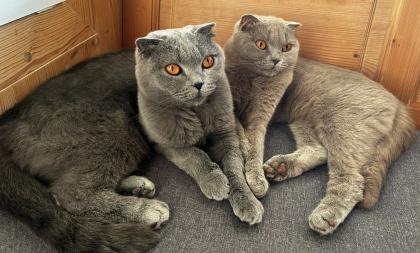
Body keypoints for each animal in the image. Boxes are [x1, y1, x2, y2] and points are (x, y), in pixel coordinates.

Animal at [135, 23, 264, 224]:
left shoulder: (225, 135)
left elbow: (234, 166)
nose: (199, 84)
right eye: (172, 69)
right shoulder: (167, 143)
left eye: (208, 61)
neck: (196, 112)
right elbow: (196, 156)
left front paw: (247, 202)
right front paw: (216, 182)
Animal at [225, 14, 416, 234]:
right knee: (319, 150)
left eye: (286, 47)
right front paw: (244, 148)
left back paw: (325, 216)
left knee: (351, 178)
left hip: (340, 124)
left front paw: (255, 176)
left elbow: (256, 143)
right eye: (261, 44)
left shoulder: (263, 112)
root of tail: (399, 104)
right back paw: (280, 168)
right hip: (305, 119)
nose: (276, 60)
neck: (253, 79)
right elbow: (238, 127)